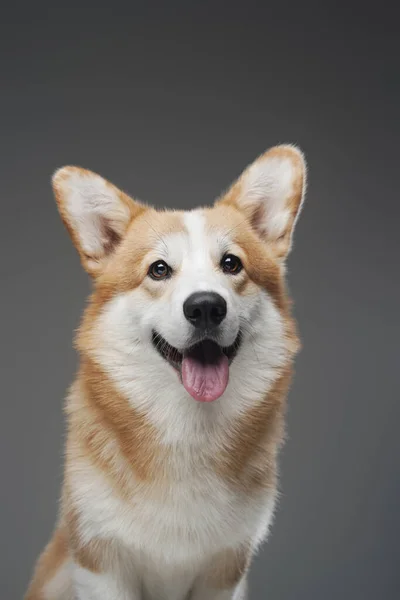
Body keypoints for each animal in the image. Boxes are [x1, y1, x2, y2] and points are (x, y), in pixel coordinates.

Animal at [25, 145, 306, 600]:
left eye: (231, 264)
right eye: (158, 269)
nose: (206, 306)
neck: (189, 426)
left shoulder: (224, 572)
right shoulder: (102, 563)